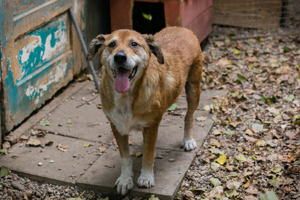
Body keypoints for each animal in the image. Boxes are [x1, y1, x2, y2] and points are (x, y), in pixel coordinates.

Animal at [88, 26, 203, 194]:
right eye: (112, 44)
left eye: (134, 44)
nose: (119, 57)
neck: (126, 97)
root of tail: (182, 28)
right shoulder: (117, 126)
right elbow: (125, 157)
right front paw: (125, 179)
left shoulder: (151, 126)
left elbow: (149, 154)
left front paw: (146, 177)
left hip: (194, 89)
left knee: (189, 115)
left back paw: (188, 140)